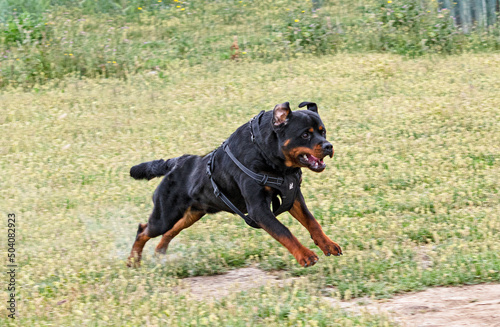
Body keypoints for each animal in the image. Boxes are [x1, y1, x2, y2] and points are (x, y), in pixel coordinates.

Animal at [127, 101, 342, 268]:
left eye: (323, 132)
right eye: (305, 135)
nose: (328, 146)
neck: (270, 157)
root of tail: (175, 163)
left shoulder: (293, 196)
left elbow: (312, 222)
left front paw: (328, 244)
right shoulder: (258, 210)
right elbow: (284, 231)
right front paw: (305, 255)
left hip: (192, 213)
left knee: (170, 231)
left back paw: (159, 251)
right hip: (166, 215)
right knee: (143, 230)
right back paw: (133, 261)